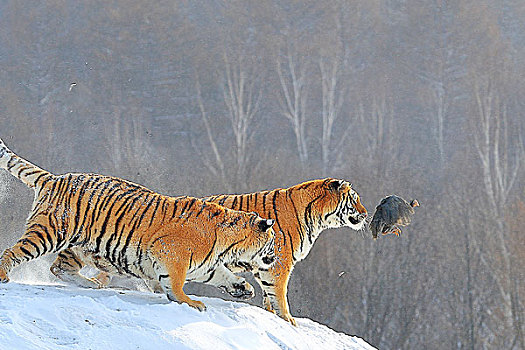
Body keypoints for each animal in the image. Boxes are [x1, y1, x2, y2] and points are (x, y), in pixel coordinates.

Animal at [0, 138, 276, 310]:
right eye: (273, 242)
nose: (274, 257)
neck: (228, 246)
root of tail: (55, 177)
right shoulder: (171, 254)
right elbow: (176, 284)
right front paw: (191, 302)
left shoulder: (206, 267)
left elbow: (223, 275)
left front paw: (243, 288)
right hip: (49, 232)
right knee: (14, 251)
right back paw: (3, 275)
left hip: (80, 247)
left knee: (58, 268)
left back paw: (92, 284)